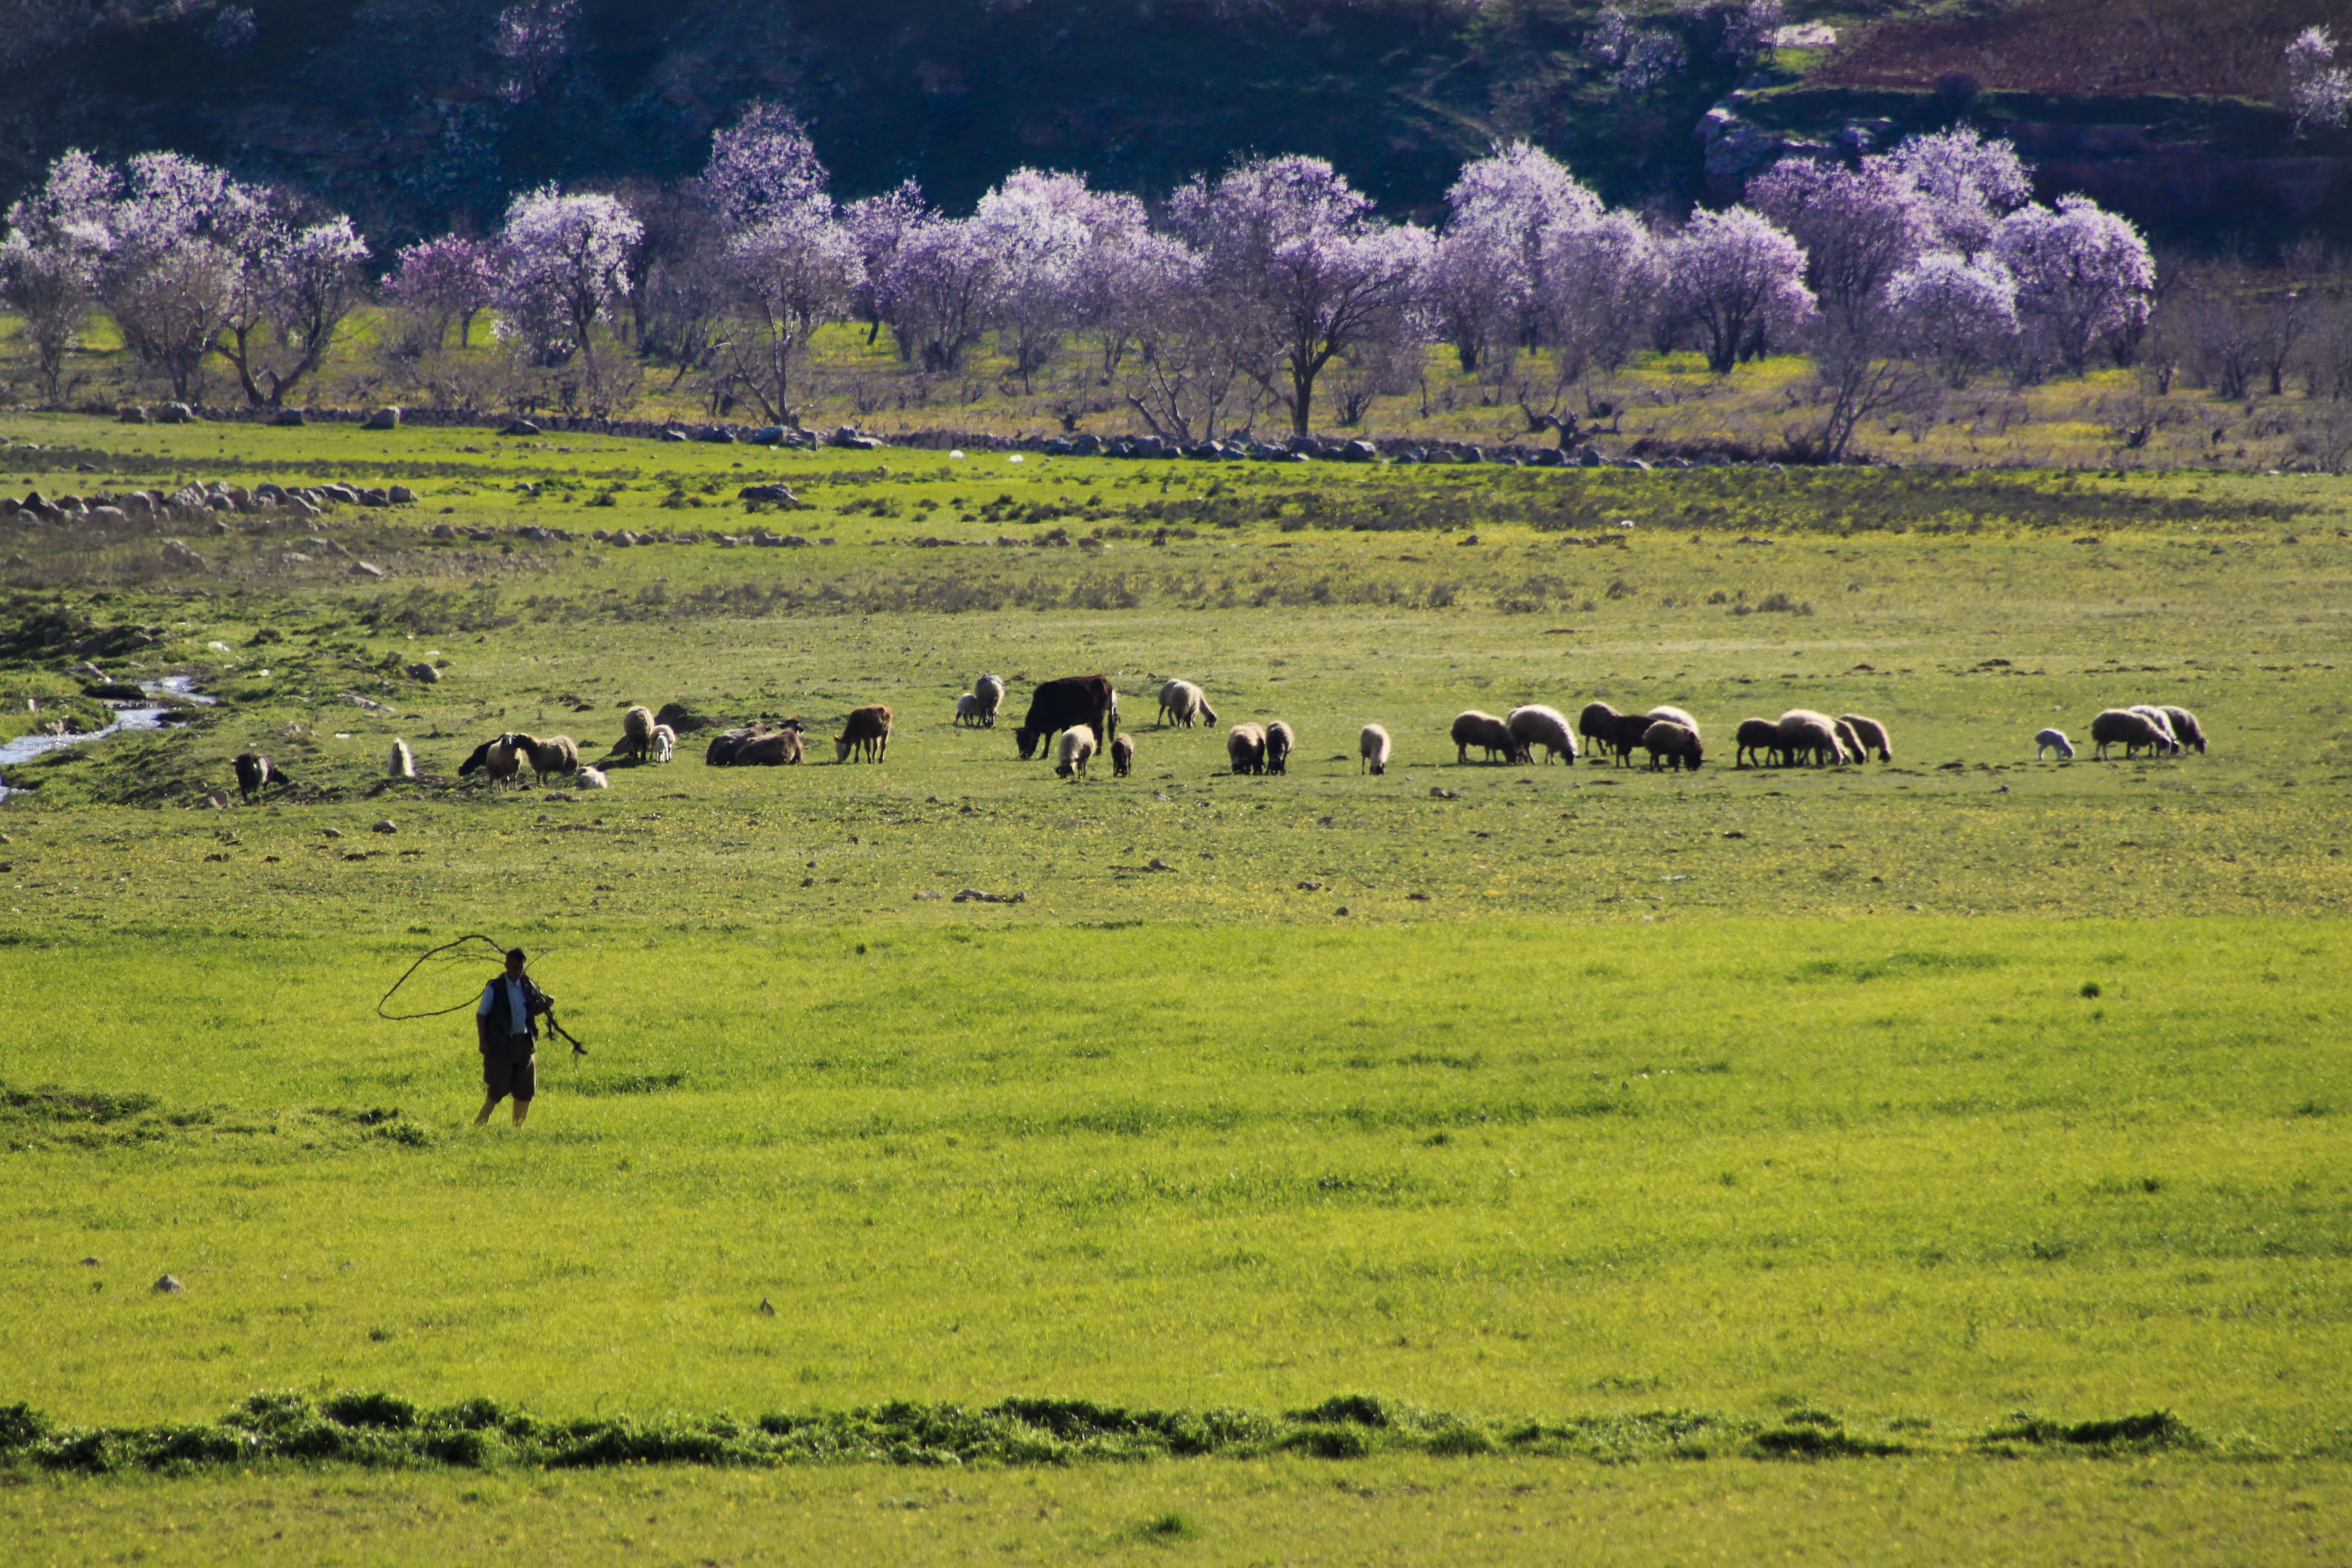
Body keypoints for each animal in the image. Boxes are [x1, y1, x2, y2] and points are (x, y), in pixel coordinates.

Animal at [1016, 677, 1115, 761]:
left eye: (1027, 740)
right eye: (1018, 741)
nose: (1022, 756)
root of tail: (1105, 681)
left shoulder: (1065, 724)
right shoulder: (1050, 728)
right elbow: (1048, 740)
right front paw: (1044, 755)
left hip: (1098, 716)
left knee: (1098, 731)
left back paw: (1096, 752)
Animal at [1439, 710, 1515, 766]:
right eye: (1512, 751)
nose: (1512, 763)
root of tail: (1456, 721)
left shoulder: (1487, 743)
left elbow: (1488, 752)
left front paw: (1488, 760)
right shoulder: (1491, 743)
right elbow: (1492, 752)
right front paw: (1494, 760)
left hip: (1464, 741)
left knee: (1463, 750)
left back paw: (1465, 760)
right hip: (1463, 739)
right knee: (1462, 750)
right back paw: (1461, 761)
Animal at [1505, 705, 1580, 766]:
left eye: (1574, 757)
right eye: (1569, 756)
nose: (1570, 765)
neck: (1563, 737)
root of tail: (1513, 713)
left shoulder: (1551, 743)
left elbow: (1548, 752)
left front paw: (1547, 762)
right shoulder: (1552, 742)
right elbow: (1551, 753)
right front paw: (1552, 763)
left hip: (1527, 738)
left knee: (1526, 749)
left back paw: (1532, 761)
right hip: (1519, 736)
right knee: (1517, 749)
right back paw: (1516, 762)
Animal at [2098, 710, 2163, 761]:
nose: (2159, 755)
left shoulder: (2134, 738)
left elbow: (2135, 748)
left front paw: (2130, 755)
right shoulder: (2134, 738)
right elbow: (2135, 748)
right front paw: (2131, 755)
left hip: (2105, 737)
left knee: (2102, 745)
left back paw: (2104, 757)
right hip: (2105, 736)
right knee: (2101, 746)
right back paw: (2101, 757)